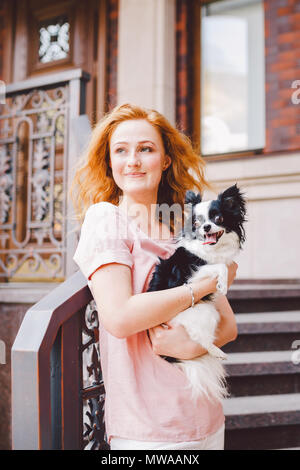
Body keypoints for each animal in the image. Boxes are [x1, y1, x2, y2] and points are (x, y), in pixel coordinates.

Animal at [147, 185, 246, 402]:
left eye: (218, 218)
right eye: (196, 223)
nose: (206, 227)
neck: (213, 249)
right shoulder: (194, 274)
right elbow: (220, 267)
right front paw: (223, 284)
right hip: (206, 313)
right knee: (200, 339)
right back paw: (216, 351)